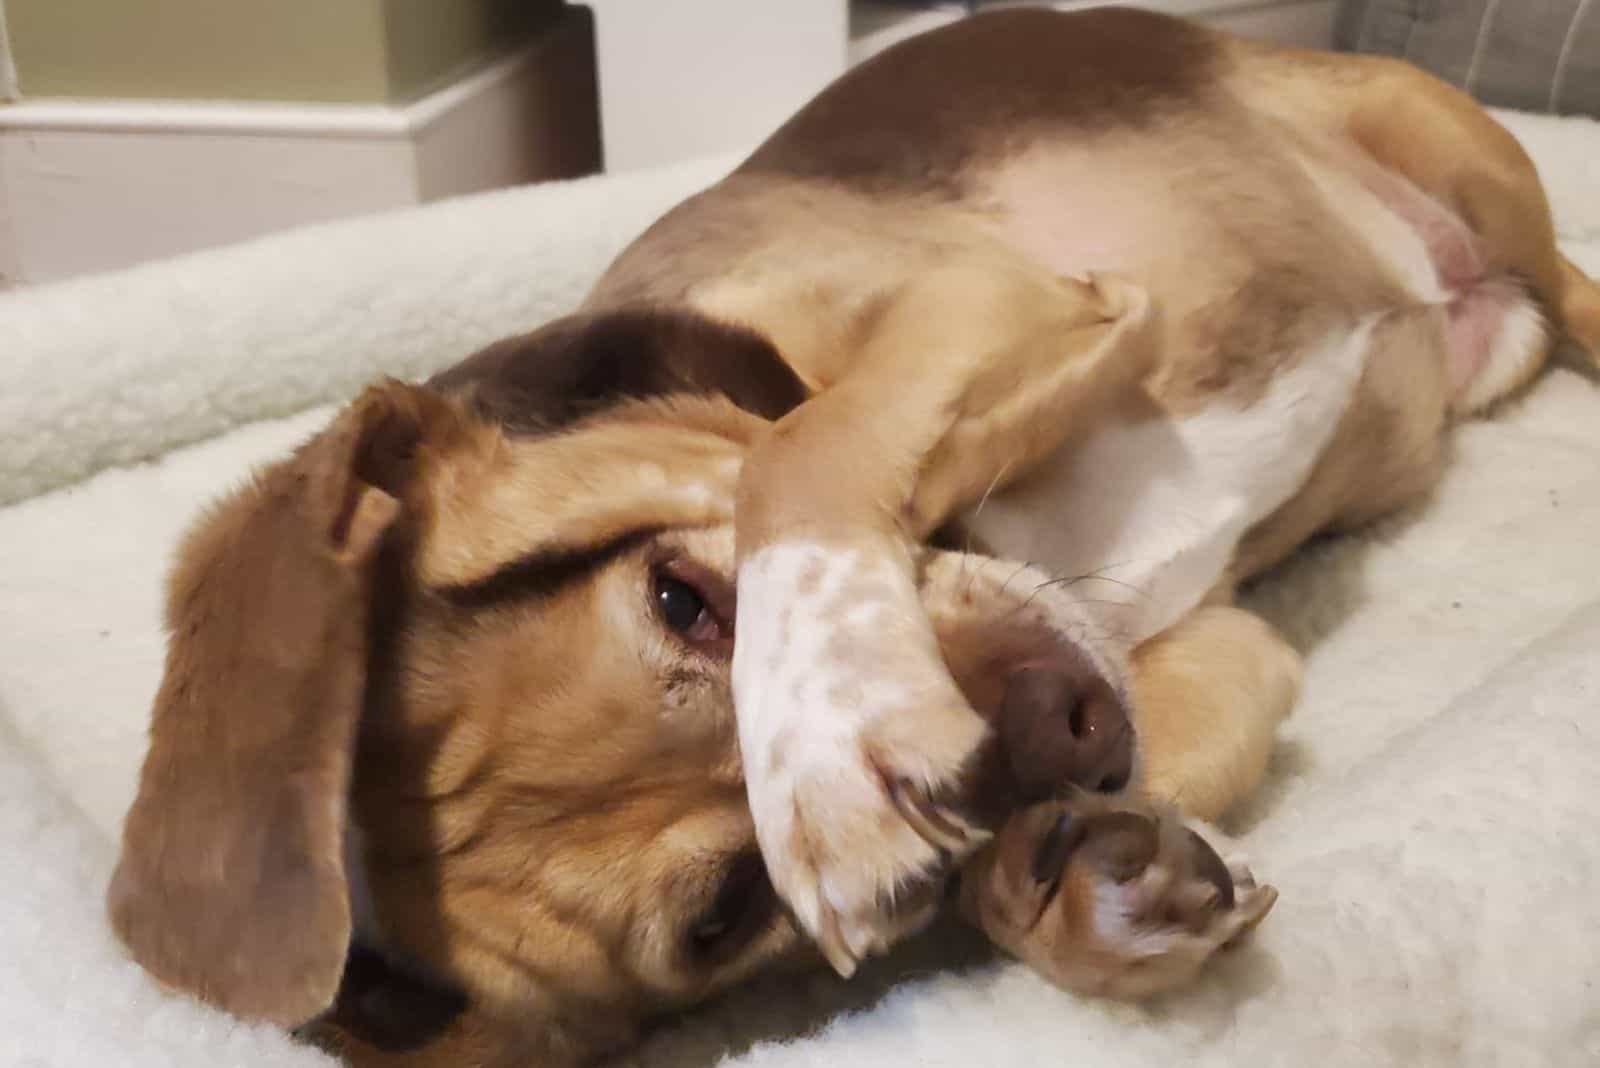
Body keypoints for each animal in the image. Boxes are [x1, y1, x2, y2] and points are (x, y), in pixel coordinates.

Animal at [103, 8, 1600, 1068]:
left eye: (685, 599)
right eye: (722, 916)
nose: (1067, 730)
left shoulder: (995, 297)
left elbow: (796, 451)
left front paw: (837, 736)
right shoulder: (1216, 641)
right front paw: (1073, 884)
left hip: (1451, 147)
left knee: (1576, 278)